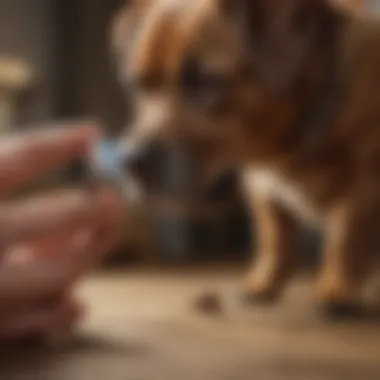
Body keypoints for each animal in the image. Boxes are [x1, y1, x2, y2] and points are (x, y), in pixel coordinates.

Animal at [110, 0, 380, 320]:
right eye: (138, 84)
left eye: (203, 82)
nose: (131, 163)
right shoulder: (261, 186)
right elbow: (274, 236)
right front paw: (264, 282)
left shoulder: (363, 187)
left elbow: (345, 240)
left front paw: (339, 289)